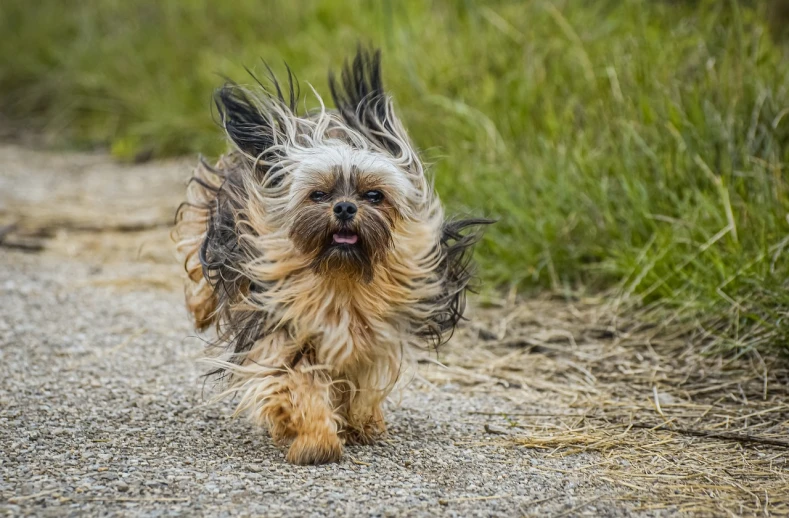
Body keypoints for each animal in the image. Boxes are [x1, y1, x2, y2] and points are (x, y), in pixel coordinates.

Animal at [175, 49, 490, 468]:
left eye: (374, 196)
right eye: (319, 195)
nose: (344, 207)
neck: (341, 277)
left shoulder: (372, 343)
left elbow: (357, 385)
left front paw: (358, 422)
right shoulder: (284, 330)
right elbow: (297, 384)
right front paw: (315, 440)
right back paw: (200, 308)